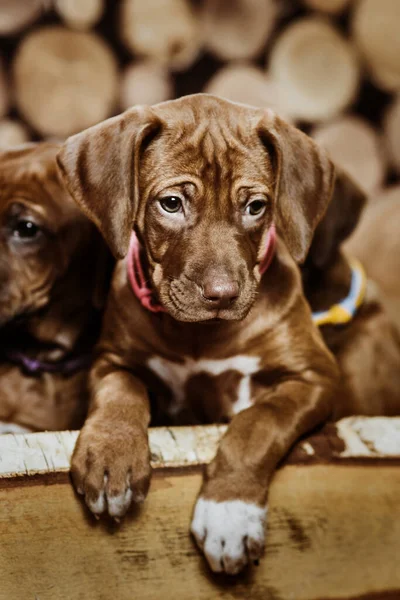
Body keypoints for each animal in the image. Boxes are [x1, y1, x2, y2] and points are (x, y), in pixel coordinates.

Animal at [56, 95, 394, 576]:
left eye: (255, 207)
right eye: (171, 203)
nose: (222, 294)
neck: (202, 336)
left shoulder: (314, 377)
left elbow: (258, 423)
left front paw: (229, 512)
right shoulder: (111, 359)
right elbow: (120, 392)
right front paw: (110, 456)